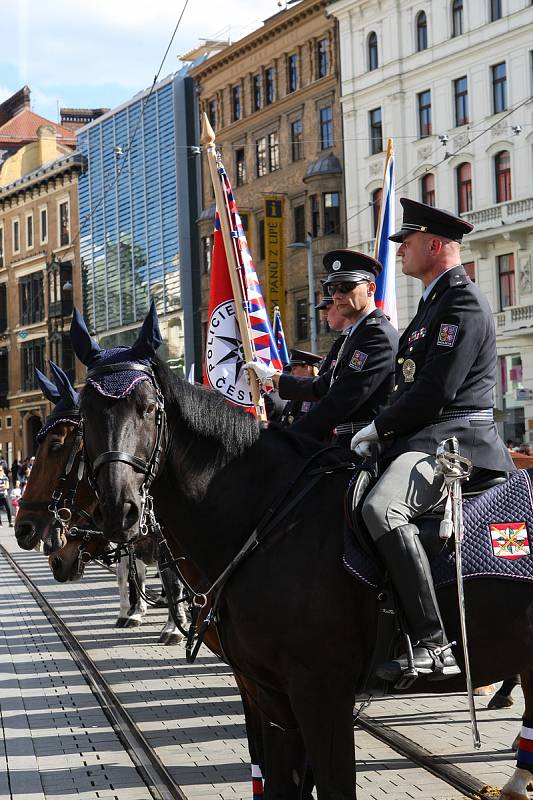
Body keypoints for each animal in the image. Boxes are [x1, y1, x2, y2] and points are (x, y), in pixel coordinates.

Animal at [74, 308, 532, 800]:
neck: (267, 517)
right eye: (84, 413)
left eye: (148, 408)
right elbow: (277, 782)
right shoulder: (269, 694)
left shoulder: (320, 693)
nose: (119, 509)